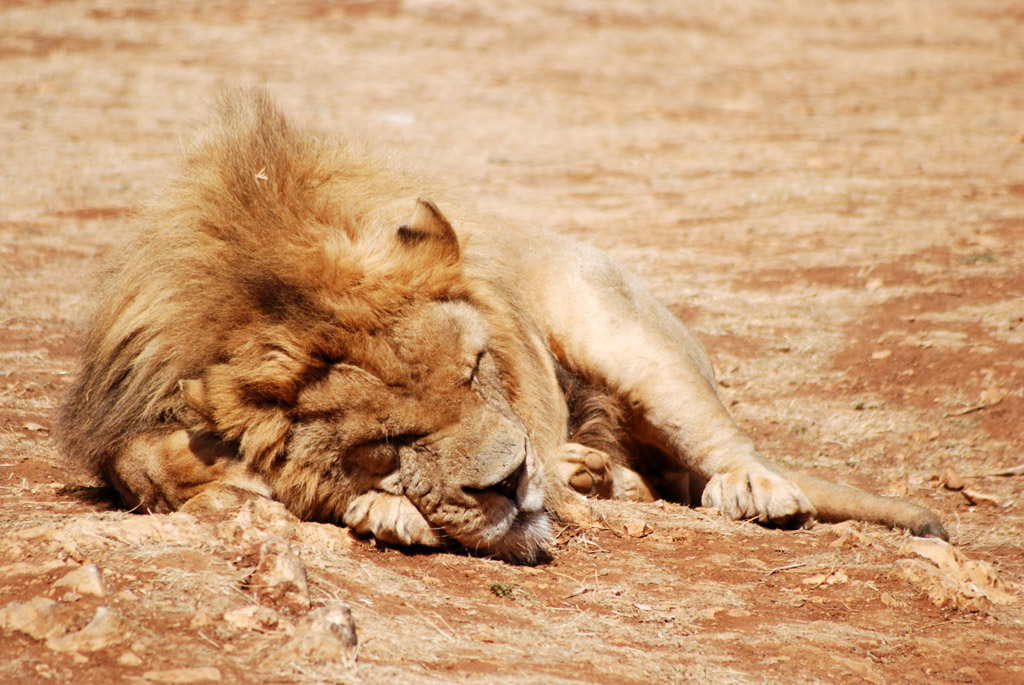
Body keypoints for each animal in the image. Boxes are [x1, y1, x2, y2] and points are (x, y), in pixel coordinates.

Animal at [57, 87, 946, 564]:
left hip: (611, 314)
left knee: (722, 444)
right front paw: (377, 502)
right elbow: (164, 471)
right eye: (384, 442)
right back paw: (591, 468)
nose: (511, 483)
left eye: (479, 368)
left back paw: (748, 488)